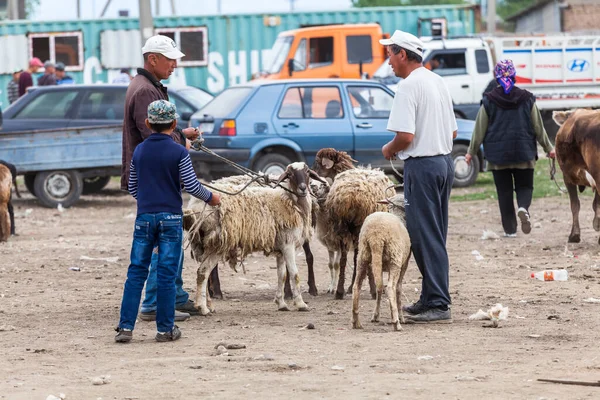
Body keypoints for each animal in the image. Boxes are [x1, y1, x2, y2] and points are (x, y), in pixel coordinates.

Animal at [184, 162, 322, 316]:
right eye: (290, 174)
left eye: (308, 172)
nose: (303, 188)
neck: (289, 201)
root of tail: (194, 206)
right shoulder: (288, 244)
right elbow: (294, 274)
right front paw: (301, 304)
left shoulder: (281, 248)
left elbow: (282, 275)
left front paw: (281, 303)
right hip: (218, 243)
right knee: (203, 272)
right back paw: (203, 308)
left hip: (207, 244)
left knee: (204, 272)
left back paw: (209, 305)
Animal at [312, 148, 392, 298]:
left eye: (317, 163)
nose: (312, 180)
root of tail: (352, 196)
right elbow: (356, 257)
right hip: (357, 226)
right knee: (357, 257)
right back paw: (369, 289)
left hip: (345, 227)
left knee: (346, 258)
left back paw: (341, 291)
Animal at [352, 194, 412, 332]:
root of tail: (375, 236)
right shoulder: (404, 264)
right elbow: (398, 289)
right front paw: (399, 317)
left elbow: (379, 289)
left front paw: (376, 315)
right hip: (395, 259)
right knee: (390, 288)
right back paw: (397, 323)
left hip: (363, 256)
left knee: (357, 286)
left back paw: (356, 322)